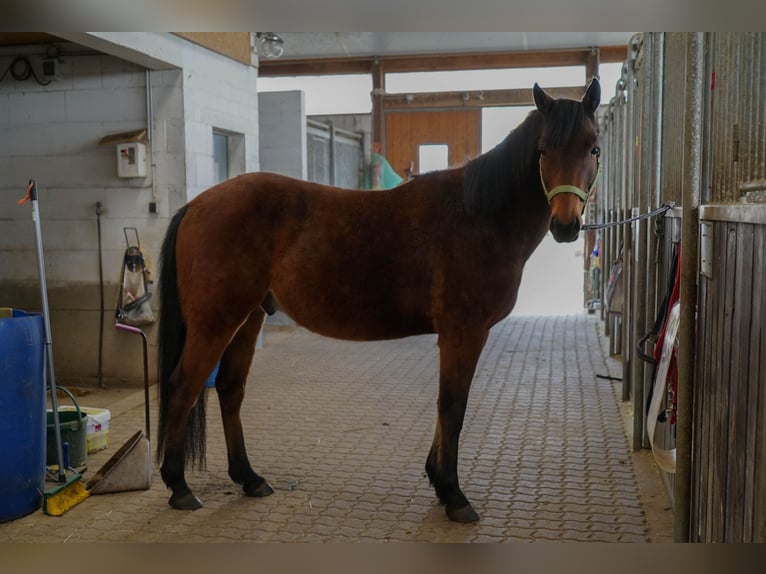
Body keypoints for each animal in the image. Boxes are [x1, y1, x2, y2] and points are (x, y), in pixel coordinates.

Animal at [154, 79, 600, 524]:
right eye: (543, 150)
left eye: (593, 148)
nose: (565, 225)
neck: (479, 216)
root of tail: (196, 205)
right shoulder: (464, 332)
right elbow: (452, 407)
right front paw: (454, 495)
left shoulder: (455, 335)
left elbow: (445, 406)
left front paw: (438, 481)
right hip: (215, 322)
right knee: (183, 387)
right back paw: (179, 487)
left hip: (248, 318)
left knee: (229, 388)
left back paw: (250, 478)